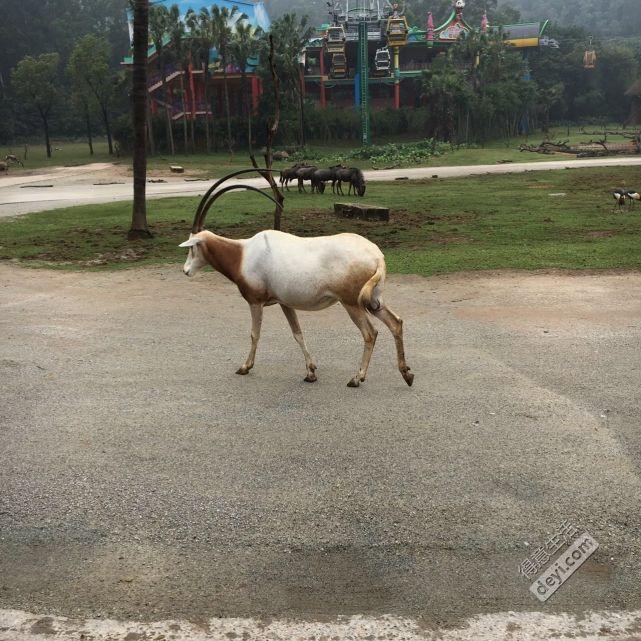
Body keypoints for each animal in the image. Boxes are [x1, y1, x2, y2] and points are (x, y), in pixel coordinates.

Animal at [178, 169, 412, 384]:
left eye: (192, 247)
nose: (185, 270)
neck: (242, 254)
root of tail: (376, 256)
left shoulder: (255, 301)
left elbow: (255, 333)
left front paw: (245, 367)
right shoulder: (285, 302)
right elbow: (297, 333)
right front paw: (310, 372)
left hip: (352, 303)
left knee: (370, 333)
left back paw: (357, 378)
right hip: (373, 300)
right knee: (396, 323)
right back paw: (406, 374)